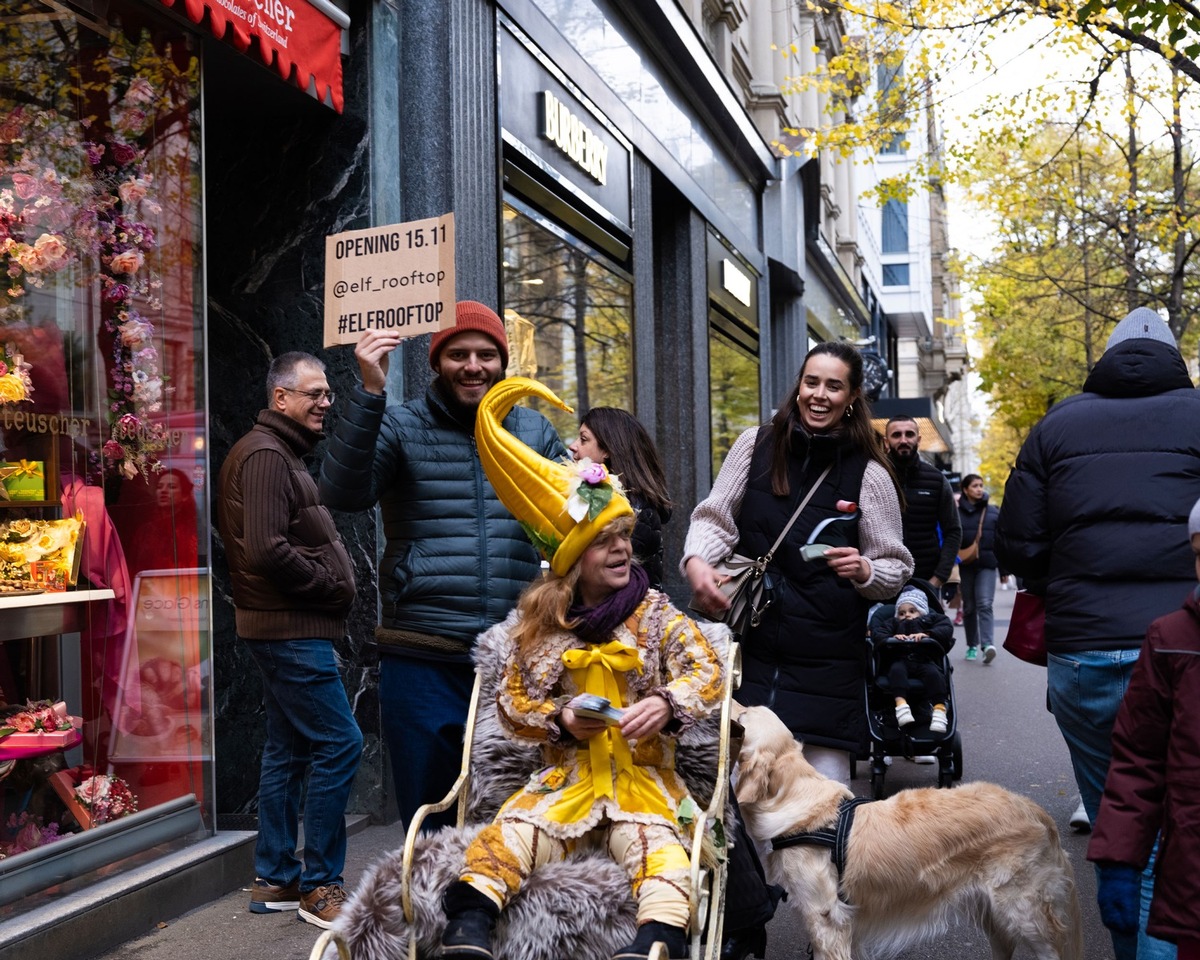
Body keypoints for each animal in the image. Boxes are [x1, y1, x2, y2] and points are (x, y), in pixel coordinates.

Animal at [734, 705, 1084, 960]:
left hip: (1026, 915)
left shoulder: (827, 922)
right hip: (996, 918)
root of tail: (1035, 810)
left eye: (741, 716)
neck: (794, 798)